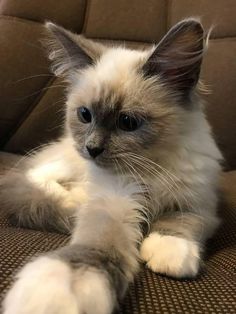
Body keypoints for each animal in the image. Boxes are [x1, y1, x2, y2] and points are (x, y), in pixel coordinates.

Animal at [1, 18, 221, 312]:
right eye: (85, 115)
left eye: (127, 122)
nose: (92, 149)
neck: (149, 168)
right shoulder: (114, 201)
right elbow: (96, 247)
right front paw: (55, 293)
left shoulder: (198, 202)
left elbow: (180, 222)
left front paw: (171, 253)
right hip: (70, 162)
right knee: (33, 176)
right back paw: (70, 200)